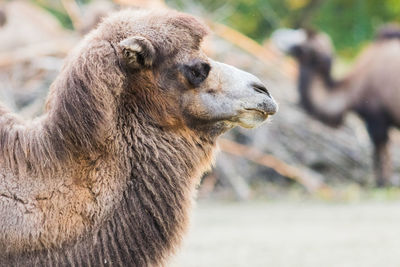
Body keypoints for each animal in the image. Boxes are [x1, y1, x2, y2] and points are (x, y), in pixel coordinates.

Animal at [274, 26, 400, 186]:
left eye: (301, 44)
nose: (276, 34)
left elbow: (381, 151)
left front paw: (382, 183)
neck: (352, 90)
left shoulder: (376, 118)